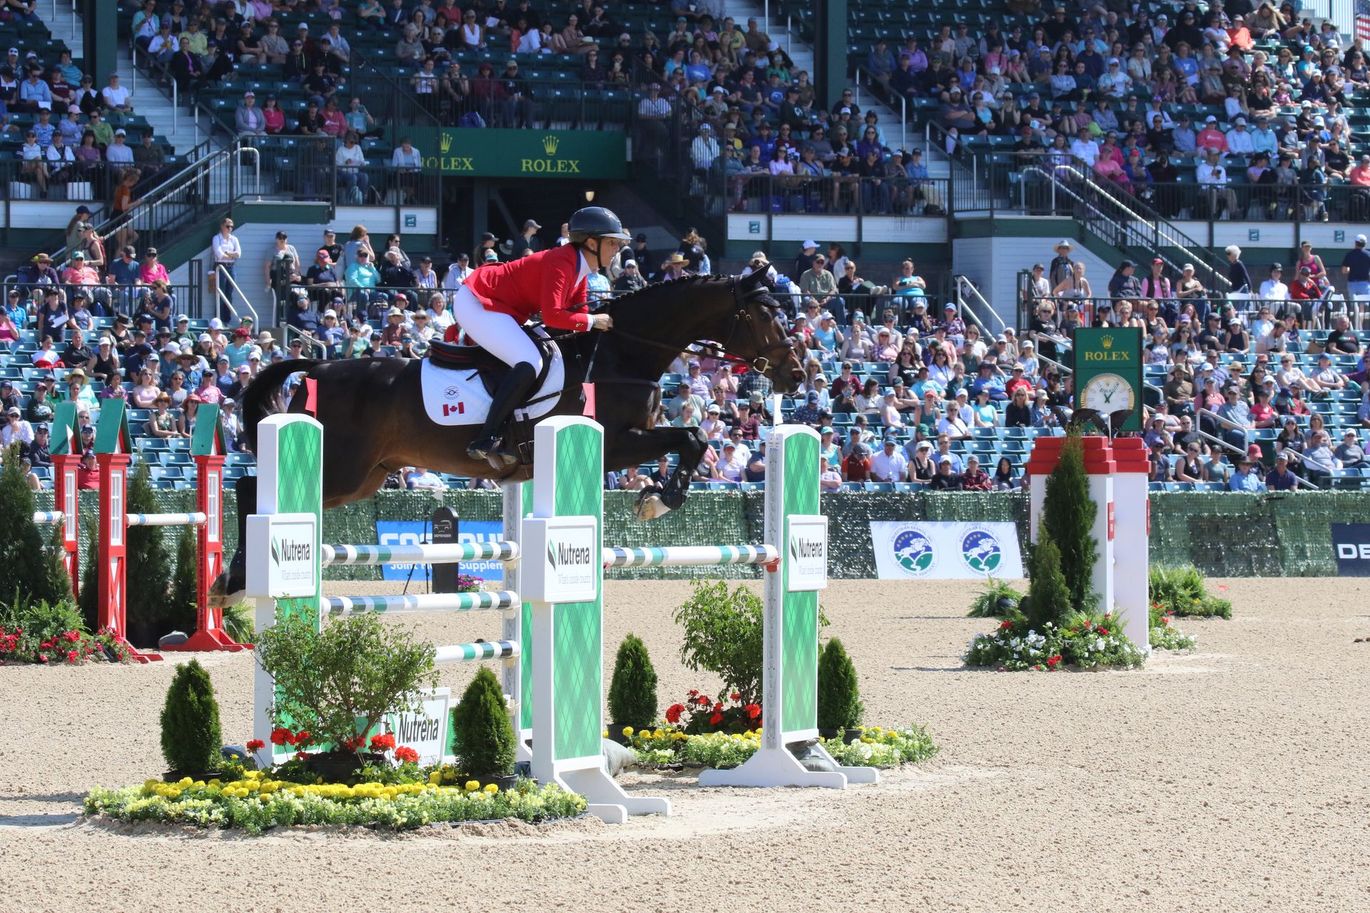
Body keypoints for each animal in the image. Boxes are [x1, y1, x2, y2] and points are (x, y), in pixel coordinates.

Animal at [210, 267, 800, 600]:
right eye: (762, 317)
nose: (797, 374)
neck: (620, 353)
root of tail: (319, 365)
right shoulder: (615, 441)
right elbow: (691, 438)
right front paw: (660, 499)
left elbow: (689, 440)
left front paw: (659, 495)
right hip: (340, 466)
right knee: (249, 487)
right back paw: (231, 580)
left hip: (363, 479)